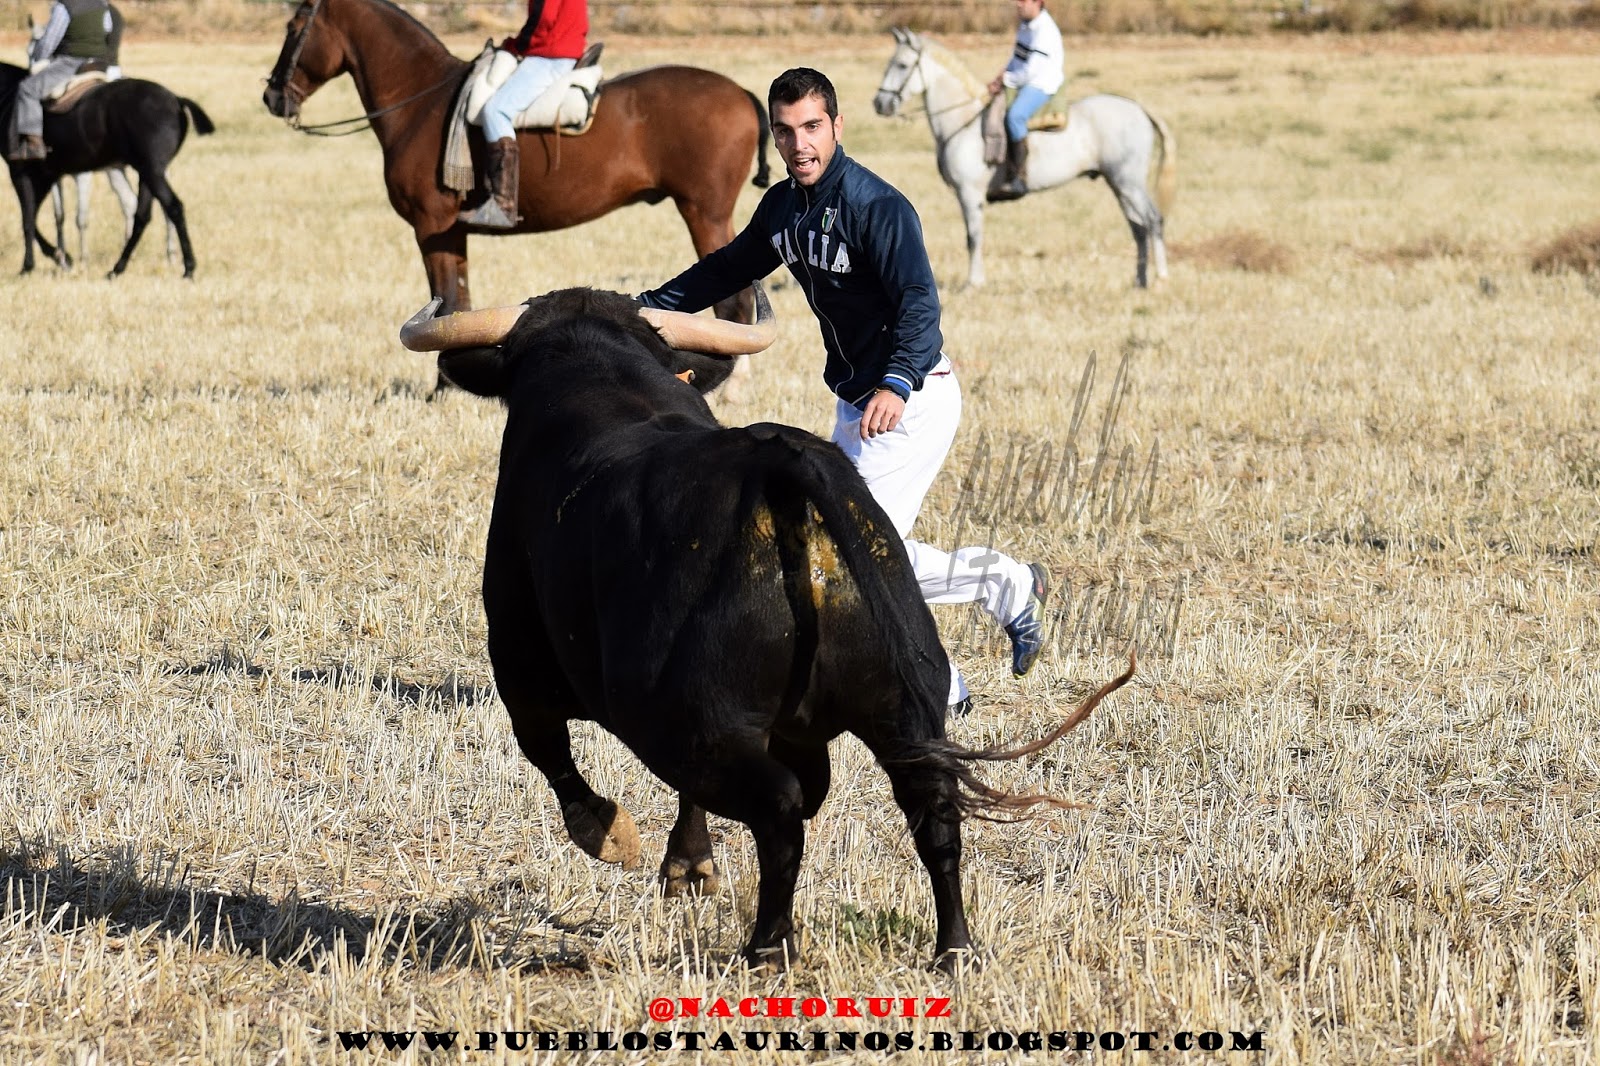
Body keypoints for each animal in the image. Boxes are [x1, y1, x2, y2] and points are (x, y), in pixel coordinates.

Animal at [0, 63, 212, 278]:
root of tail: (176, 100)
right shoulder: (47, 176)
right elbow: (36, 218)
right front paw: (61, 256)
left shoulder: (20, 173)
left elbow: (27, 220)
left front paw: (28, 266)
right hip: (146, 173)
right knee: (142, 216)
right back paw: (117, 268)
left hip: (152, 172)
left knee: (173, 207)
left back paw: (188, 268)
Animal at [262, 0, 771, 327]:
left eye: (294, 27)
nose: (271, 96)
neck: (421, 102)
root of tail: (741, 93)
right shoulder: (451, 233)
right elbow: (458, 301)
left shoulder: (432, 227)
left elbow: (447, 300)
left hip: (704, 214)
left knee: (734, 304)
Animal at [399, 286, 1134, 970]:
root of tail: (785, 469)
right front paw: (688, 865)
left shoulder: (522, 668)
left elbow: (550, 757)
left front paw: (612, 834)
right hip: (898, 715)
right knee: (932, 811)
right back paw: (952, 949)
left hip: (692, 726)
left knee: (779, 810)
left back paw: (768, 946)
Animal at [872, 28, 1175, 289]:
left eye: (901, 65)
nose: (880, 104)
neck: (964, 122)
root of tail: (1138, 108)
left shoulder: (970, 193)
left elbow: (973, 237)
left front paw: (973, 282)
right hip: (1119, 185)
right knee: (1138, 228)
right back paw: (1140, 280)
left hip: (1129, 183)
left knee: (1153, 220)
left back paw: (1160, 277)